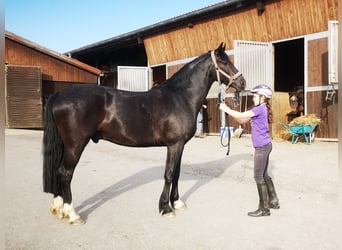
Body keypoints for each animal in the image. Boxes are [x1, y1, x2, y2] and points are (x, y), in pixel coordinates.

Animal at [42, 42, 246, 224]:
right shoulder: (174, 145)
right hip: (75, 145)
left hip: (66, 145)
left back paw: (58, 207)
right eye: (224, 62)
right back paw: (72, 213)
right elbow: (169, 174)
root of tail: (60, 94)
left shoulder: (180, 145)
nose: (242, 82)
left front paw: (177, 202)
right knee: (65, 173)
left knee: (58, 171)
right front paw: (165, 208)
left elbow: (177, 173)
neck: (180, 97)